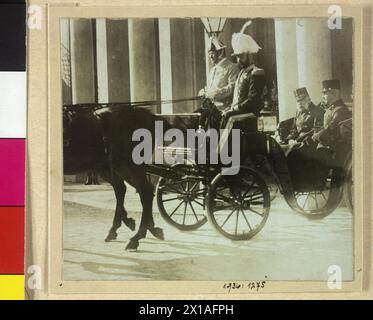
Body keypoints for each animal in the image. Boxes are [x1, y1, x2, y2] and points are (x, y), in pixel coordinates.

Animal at [63, 104, 169, 251]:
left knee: (144, 192)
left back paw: (136, 237)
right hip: (109, 166)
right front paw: (130, 222)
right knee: (123, 190)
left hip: (127, 166)